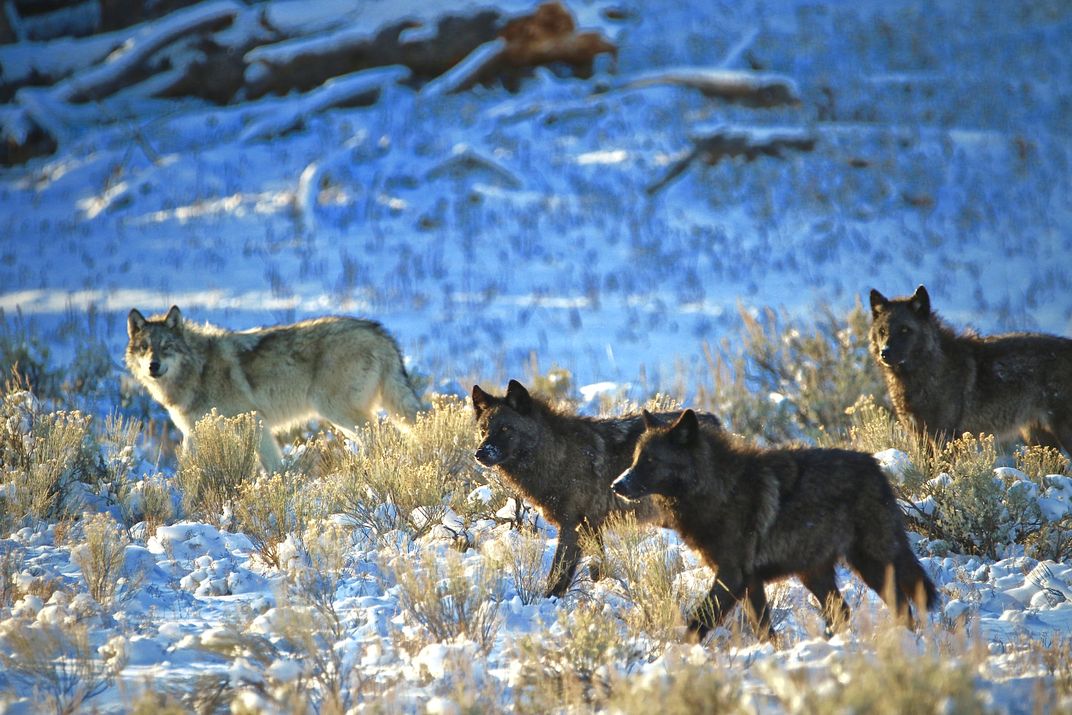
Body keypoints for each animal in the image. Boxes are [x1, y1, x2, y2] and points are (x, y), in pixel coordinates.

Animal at [125, 306, 422, 469]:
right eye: (144, 347)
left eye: (166, 346)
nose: (153, 366)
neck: (199, 369)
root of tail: (379, 331)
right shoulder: (194, 434)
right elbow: (187, 471)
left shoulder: (254, 422)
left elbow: (273, 466)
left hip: (337, 412)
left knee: (386, 437)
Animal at [473, 379, 724, 600]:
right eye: (484, 429)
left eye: (505, 428)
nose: (480, 453)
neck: (558, 455)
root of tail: (715, 421)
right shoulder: (592, 526)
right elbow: (598, 569)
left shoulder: (572, 526)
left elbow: (558, 575)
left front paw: (546, 601)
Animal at [613, 407, 939, 643]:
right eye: (636, 458)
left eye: (651, 461)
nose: (617, 485)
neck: (718, 489)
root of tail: (876, 466)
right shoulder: (750, 583)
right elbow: (763, 629)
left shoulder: (731, 576)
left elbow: (699, 622)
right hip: (815, 574)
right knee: (843, 612)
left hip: (871, 564)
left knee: (902, 606)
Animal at [870, 282, 1072, 448]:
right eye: (882, 331)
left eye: (905, 329)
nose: (884, 353)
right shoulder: (919, 436)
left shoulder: (944, 436)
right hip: (1037, 436)